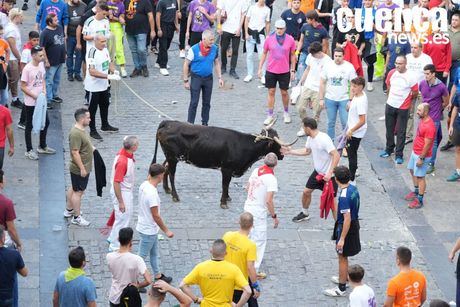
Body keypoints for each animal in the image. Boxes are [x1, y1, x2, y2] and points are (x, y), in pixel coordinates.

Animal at [152, 120, 298, 209]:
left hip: (171, 157)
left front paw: (227, 198)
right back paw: (175, 196)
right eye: (276, 144)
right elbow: (225, 184)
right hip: (172, 157)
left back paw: (167, 189)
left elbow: (227, 185)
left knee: (165, 168)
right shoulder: (226, 169)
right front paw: (223, 202)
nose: (282, 155)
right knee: (171, 174)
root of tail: (168, 122)